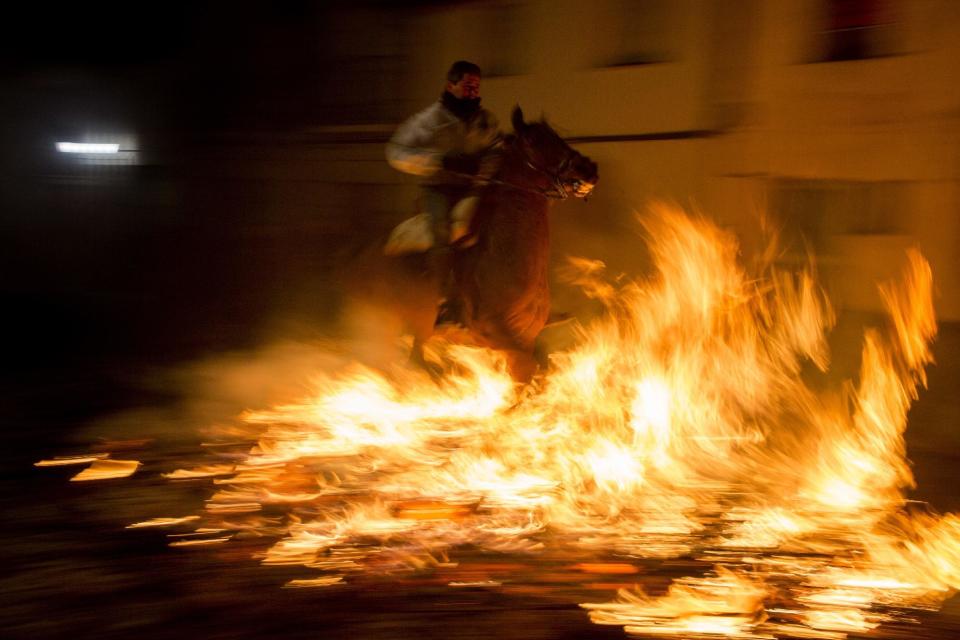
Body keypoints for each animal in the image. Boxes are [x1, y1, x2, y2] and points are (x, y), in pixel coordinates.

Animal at [348, 106, 596, 380]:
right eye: (534, 140)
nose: (589, 168)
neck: (506, 254)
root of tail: (364, 254)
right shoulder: (501, 338)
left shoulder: (525, 341)